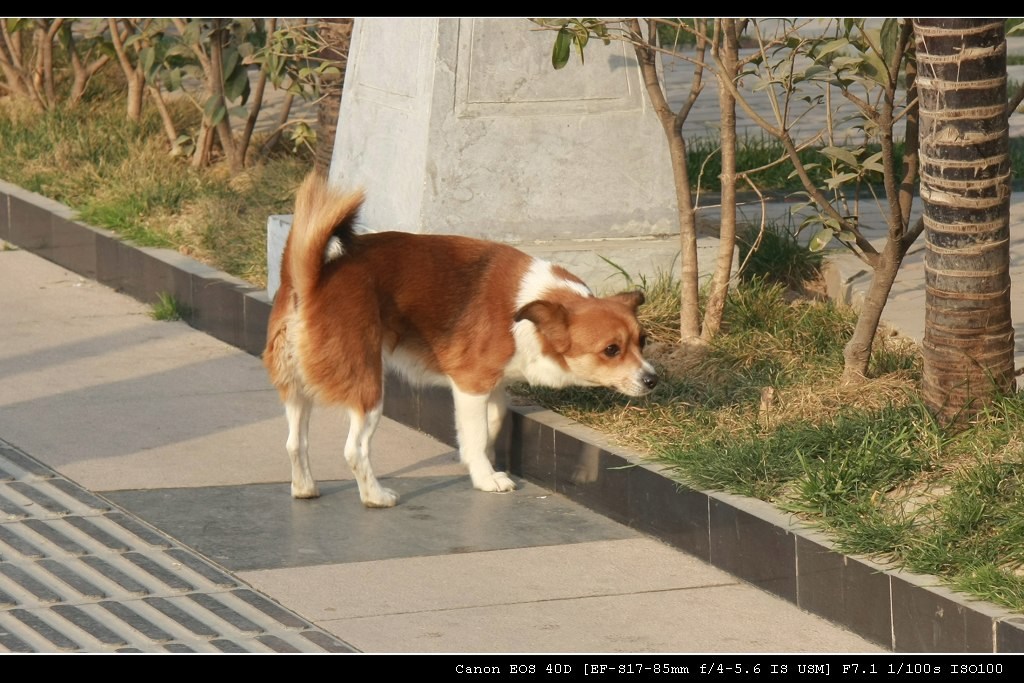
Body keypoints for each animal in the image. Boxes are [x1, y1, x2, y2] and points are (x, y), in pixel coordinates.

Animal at [264, 174, 659, 507]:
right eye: (611, 350)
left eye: (643, 341)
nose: (652, 380)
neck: (527, 311)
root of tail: (309, 282)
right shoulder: (470, 385)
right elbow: (477, 431)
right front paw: (486, 477)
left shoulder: (492, 384)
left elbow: (491, 424)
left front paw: (476, 459)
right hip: (368, 389)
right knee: (354, 450)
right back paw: (376, 496)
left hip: (296, 390)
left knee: (294, 442)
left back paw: (305, 488)